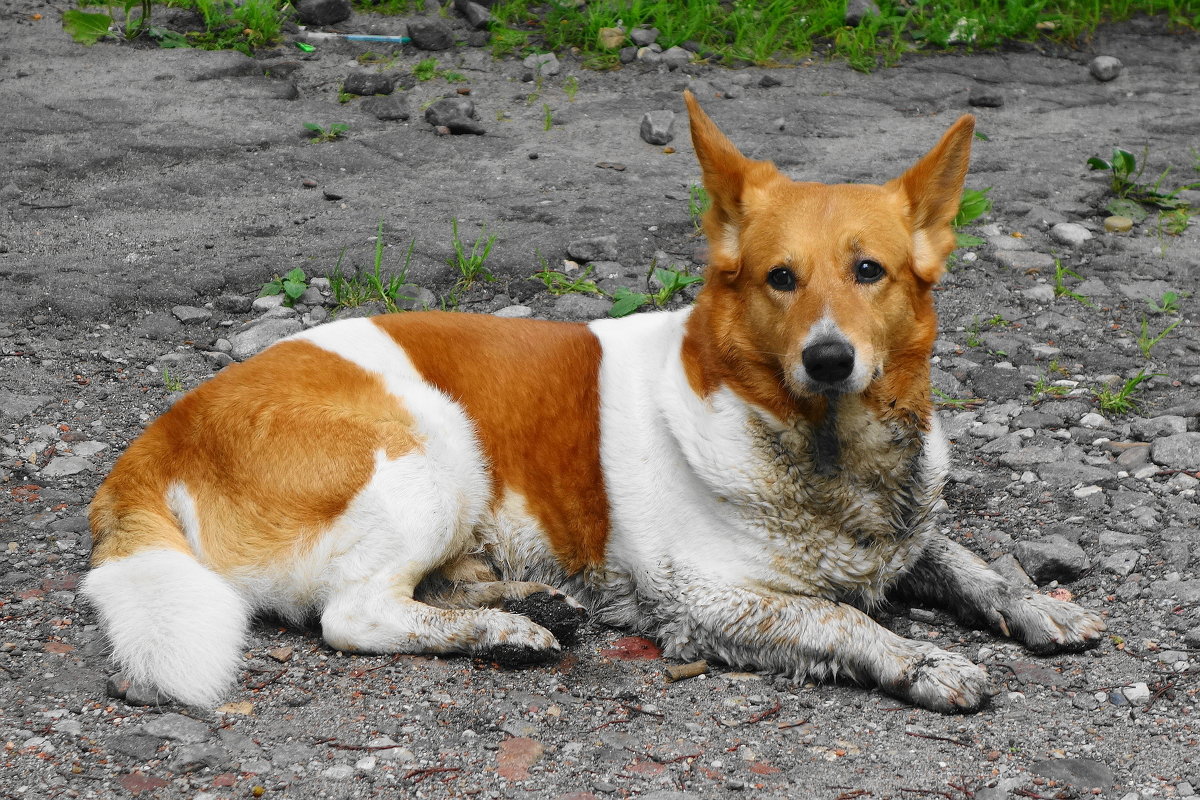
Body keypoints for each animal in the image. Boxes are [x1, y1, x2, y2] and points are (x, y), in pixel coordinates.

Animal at [79, 94, 1099, 714]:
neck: (820, 450)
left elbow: (968, 562)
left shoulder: (906, 538)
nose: (829, 358)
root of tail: (160, 436)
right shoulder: (712, 601)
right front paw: (926, 661)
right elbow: (845, 619)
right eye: (780, 278)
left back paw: (530, 600)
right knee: (355, 614)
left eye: (870, 272)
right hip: (432, 454)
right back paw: (508, 630)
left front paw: (1034, 606)